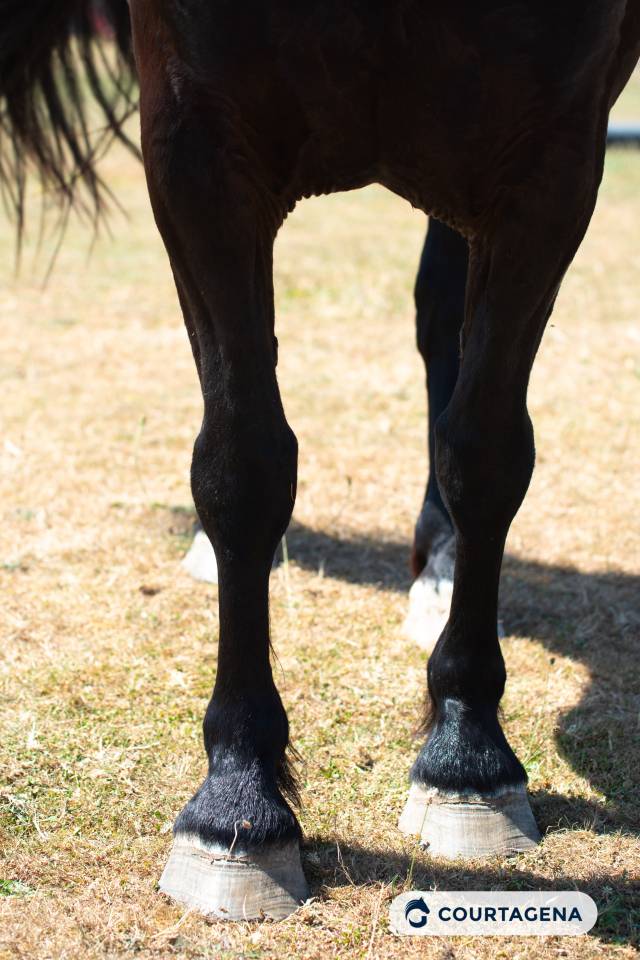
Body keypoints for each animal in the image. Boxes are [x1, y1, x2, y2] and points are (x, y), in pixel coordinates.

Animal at [2, 0, 639, 923]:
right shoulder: (197, 143)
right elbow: (241, 463)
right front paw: (237, 802)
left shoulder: (551, 155)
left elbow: (484, 450)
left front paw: (469, 757)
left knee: (442, 328)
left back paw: (440, 567)